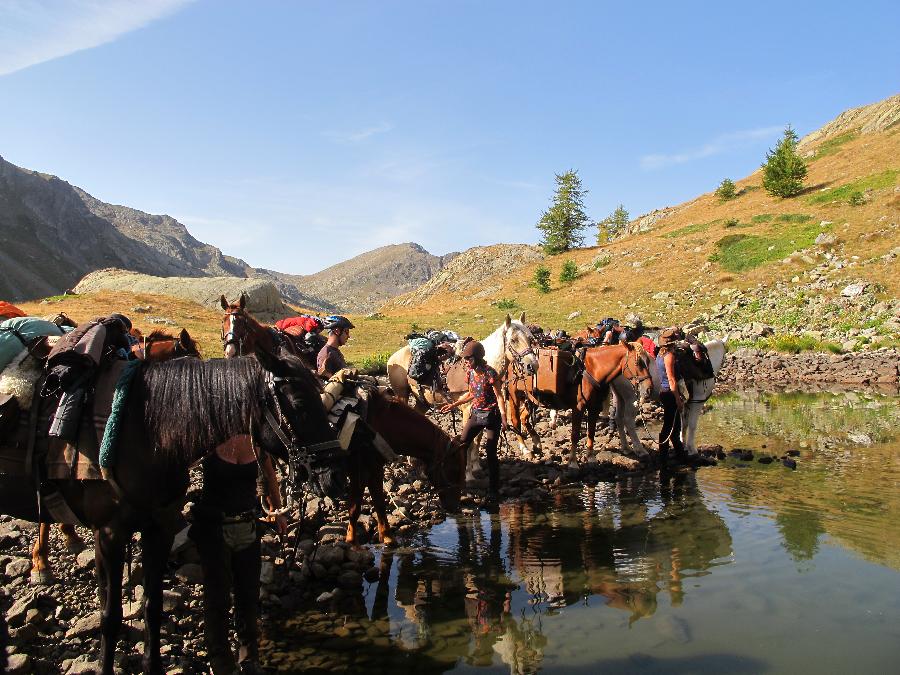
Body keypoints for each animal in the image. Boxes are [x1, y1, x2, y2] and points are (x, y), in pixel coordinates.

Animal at [344, 394, 468, 548]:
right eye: (455, 470)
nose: (455, 507)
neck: (381, 424)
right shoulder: (369, 469)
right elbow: (375, 505)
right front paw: (388, 538)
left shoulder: (361, 472)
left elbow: (355, 507)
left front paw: (351, 540)